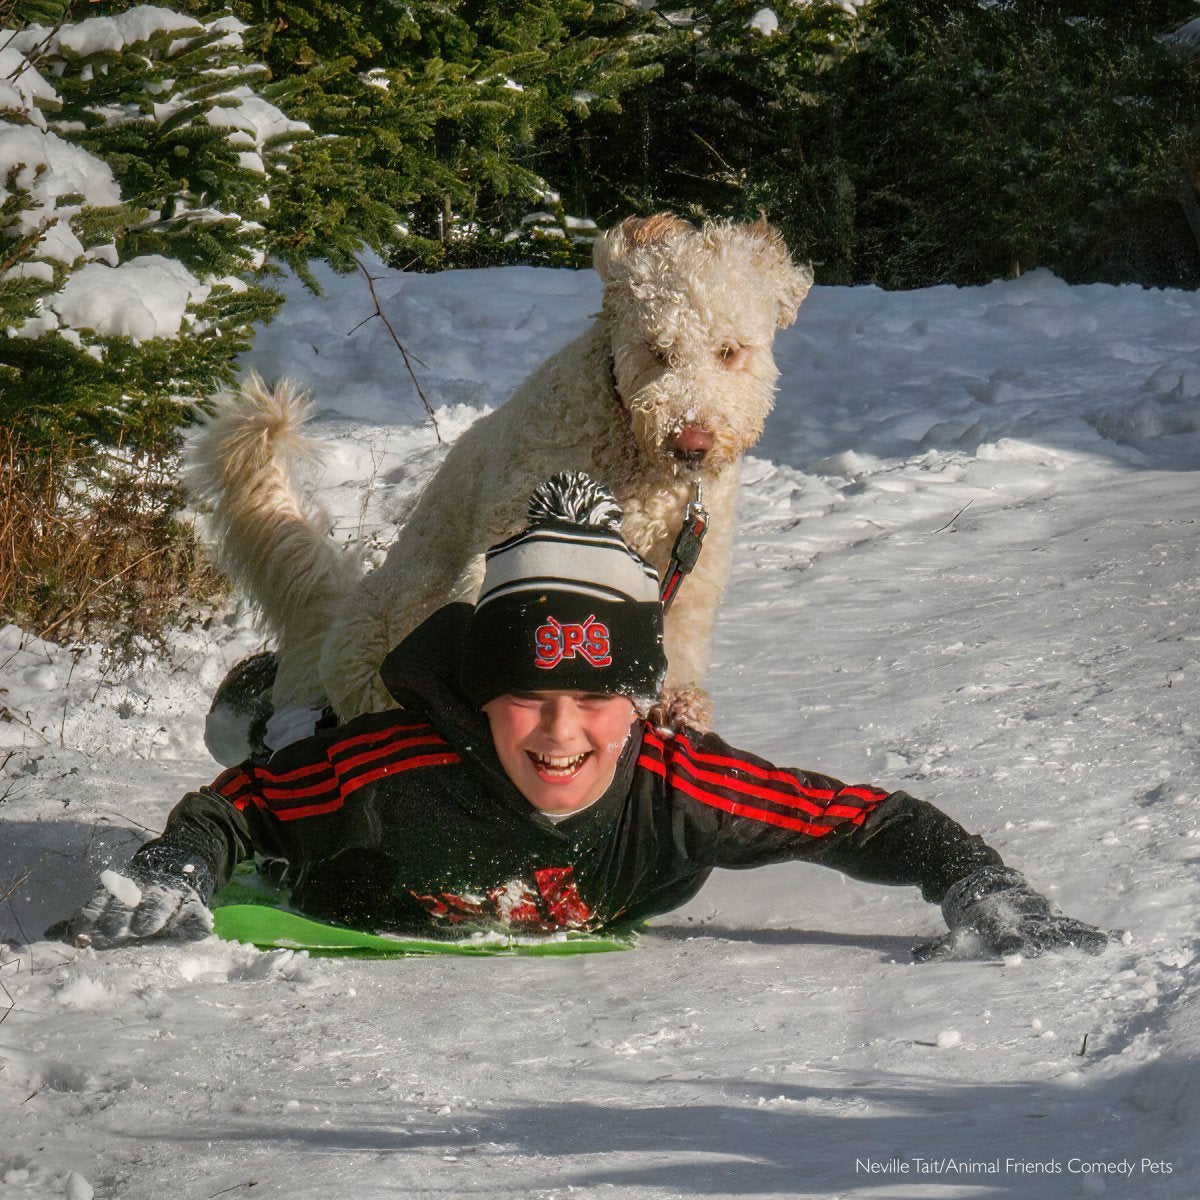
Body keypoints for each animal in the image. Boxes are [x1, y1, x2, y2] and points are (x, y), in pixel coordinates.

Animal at [192, 214, 811, 734]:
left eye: (729, 351)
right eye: (657, 350)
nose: (692, 442)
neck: (632, 452)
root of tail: (331, 622)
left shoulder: (688, 572)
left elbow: (676, 635)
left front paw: (674, 701)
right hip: (380, 632)